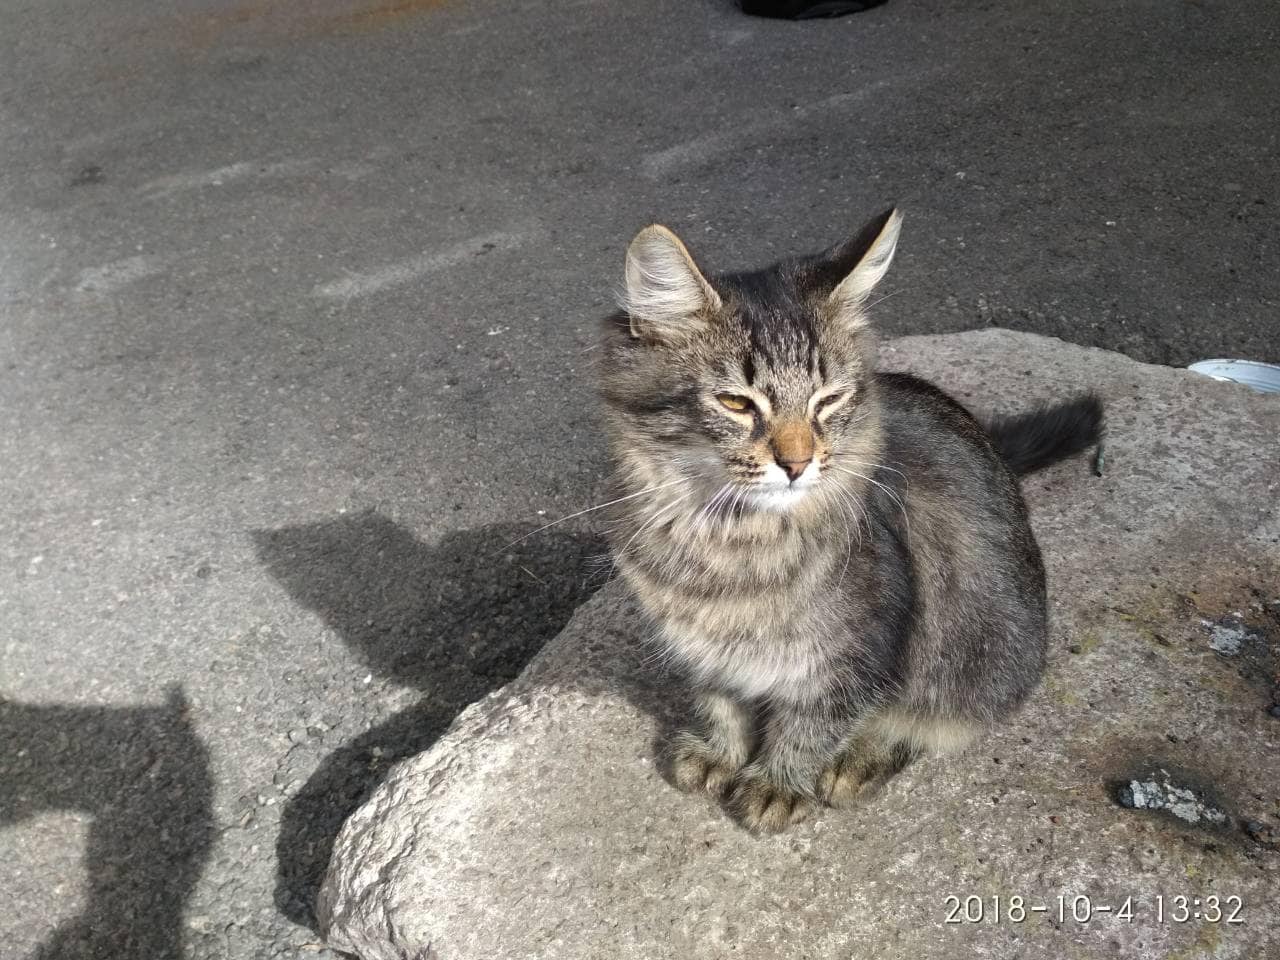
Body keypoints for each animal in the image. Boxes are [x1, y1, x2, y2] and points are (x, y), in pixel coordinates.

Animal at [593, 208, 1105, 834]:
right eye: (736, 404)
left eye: (828, 400)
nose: (796, 463)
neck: (728, 540)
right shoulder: (701, 648)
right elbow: (720, 702)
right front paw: (720, 752)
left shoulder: (856, 655)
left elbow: (812, 725)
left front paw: (777, 783)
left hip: (980, 655)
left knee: (928, 720)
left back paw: (858, 763)